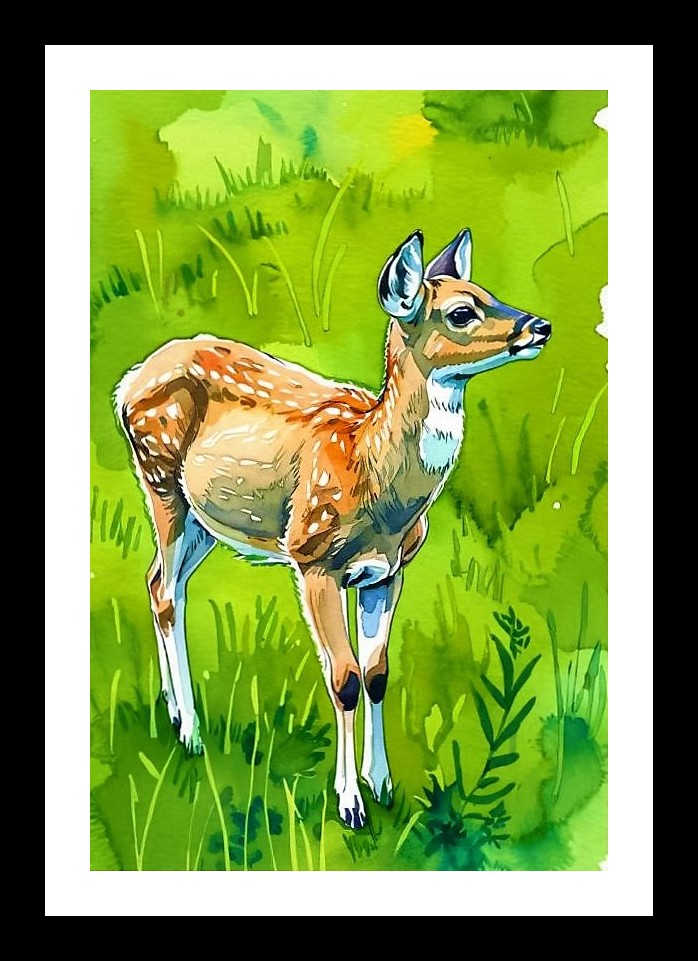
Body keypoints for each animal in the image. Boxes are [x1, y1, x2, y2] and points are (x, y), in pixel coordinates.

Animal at [115, 228, 551, 829]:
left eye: (487, 291)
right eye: (462, 312)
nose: (539, 326)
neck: (377, 484)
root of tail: (126, 383)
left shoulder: (387, 571)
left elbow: (377, 671)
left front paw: (383, 786)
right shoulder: (312, 557)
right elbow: (343, 677)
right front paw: (350, 805)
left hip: (207, 518)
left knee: (162, 580)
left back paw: (175, 713)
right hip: (160, 482)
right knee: (163, 590)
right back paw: (192, 735)